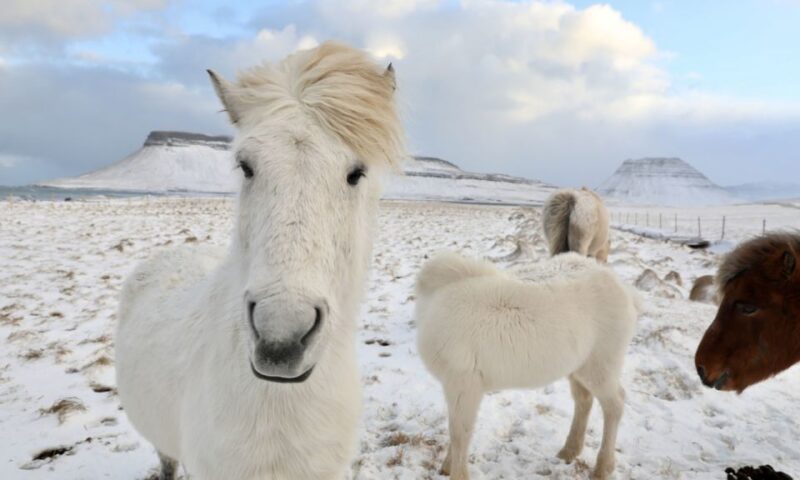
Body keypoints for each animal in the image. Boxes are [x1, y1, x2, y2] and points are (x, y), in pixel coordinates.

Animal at [415, 251, 639, 480]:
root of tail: (621, 287)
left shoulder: (463, 383)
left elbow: (460, 433)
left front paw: (455, 471)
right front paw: (446, 466)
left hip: (601, 366)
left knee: (615, 405)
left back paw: (603, 467)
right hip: (579, 368)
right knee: (584, 401)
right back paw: (569, 450)